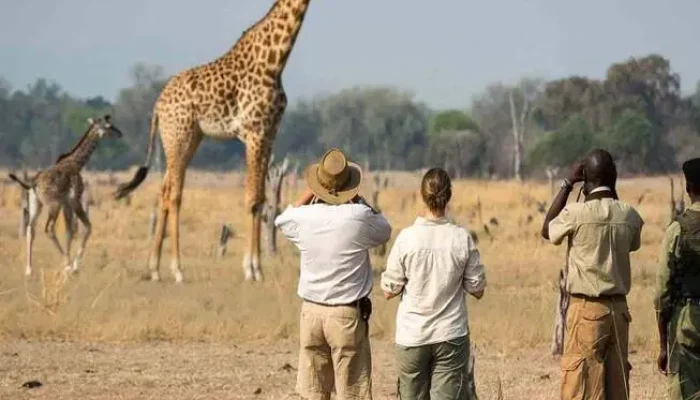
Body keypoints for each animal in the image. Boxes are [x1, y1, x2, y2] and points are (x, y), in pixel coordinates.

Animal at [9, 115, 123, 276]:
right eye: (109, 126)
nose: (120, 133)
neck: (76, 163)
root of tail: (33, 183)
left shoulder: (66, 203)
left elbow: (69, 230)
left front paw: (71, 262)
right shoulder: (74, 200)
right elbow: (87, 227)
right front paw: (74, 265)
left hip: (36, 204)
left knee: (31, 229)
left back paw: (29, 270)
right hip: (53, 204)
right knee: (49, 229)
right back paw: (66, 265)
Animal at [113, 0, 312, 283]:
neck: (274, 61)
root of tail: (157, 106)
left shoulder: (269, 133)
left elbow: (261, 198)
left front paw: (259, 268)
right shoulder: (253, 133)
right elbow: (252, 198)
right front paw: (250, 269)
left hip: (188, 140)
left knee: (163, 191)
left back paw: (154, 269)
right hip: (179, 136)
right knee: (174, 194)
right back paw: (177, 270)